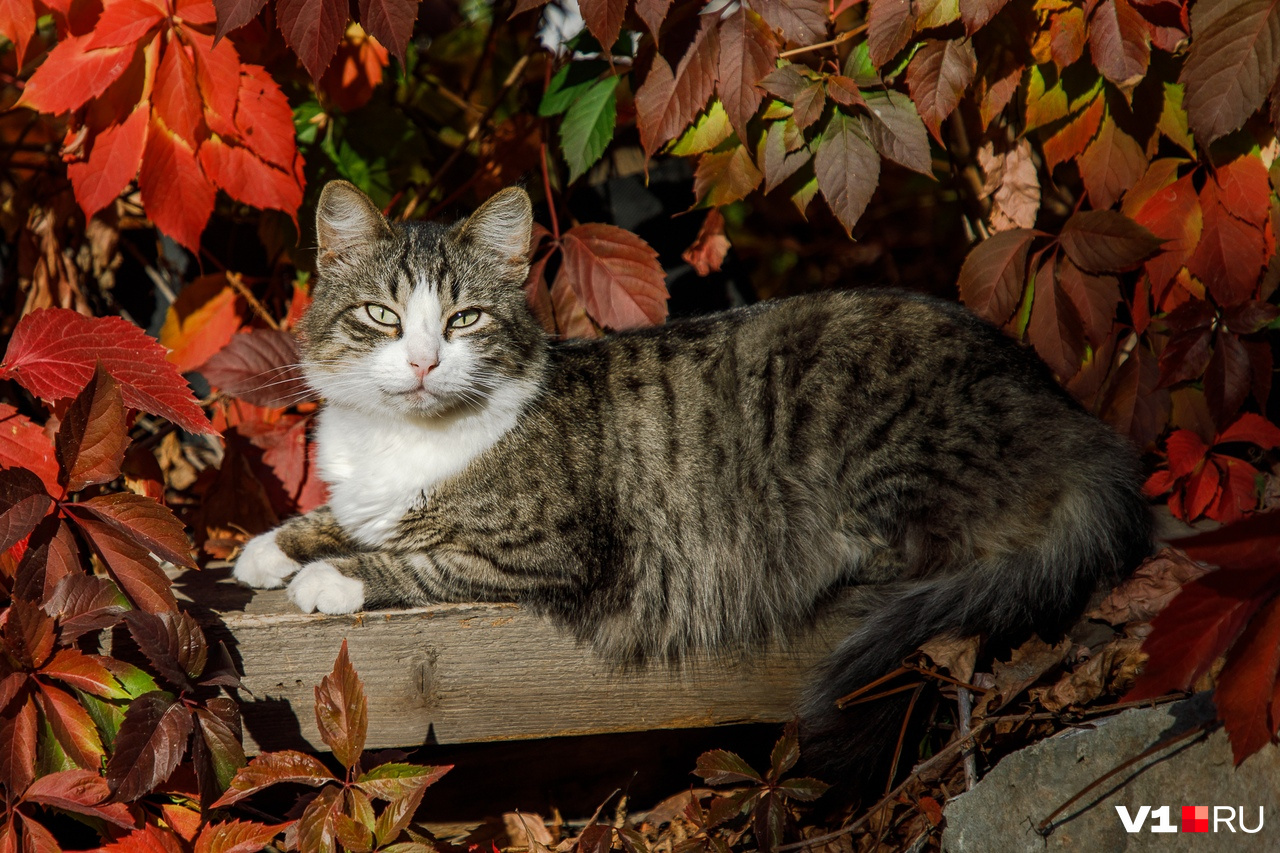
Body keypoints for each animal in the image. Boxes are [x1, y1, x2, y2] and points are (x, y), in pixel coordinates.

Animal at [235, 183, 1157, 794]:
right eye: (382, 317)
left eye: (465, 321)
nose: (425, 362)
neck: (403, 441)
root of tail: (1069, 418)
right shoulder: (365, 495)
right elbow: (338, 515)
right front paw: (268, 549)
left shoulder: (545, 549)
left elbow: (413, 554)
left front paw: (328, 576)